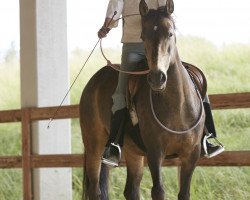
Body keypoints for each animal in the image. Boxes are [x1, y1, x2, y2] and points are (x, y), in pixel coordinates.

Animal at [79, 0, 205, 199]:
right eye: (142, 36)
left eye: (170, 33)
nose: (157, 78)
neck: (178, 108)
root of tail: (94, 80)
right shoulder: (155, 152)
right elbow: (158, 191)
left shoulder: (191, 154)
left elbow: (184, 193)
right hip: (94, 145)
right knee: (94, 188)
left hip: (133, 153)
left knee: (131, 189)